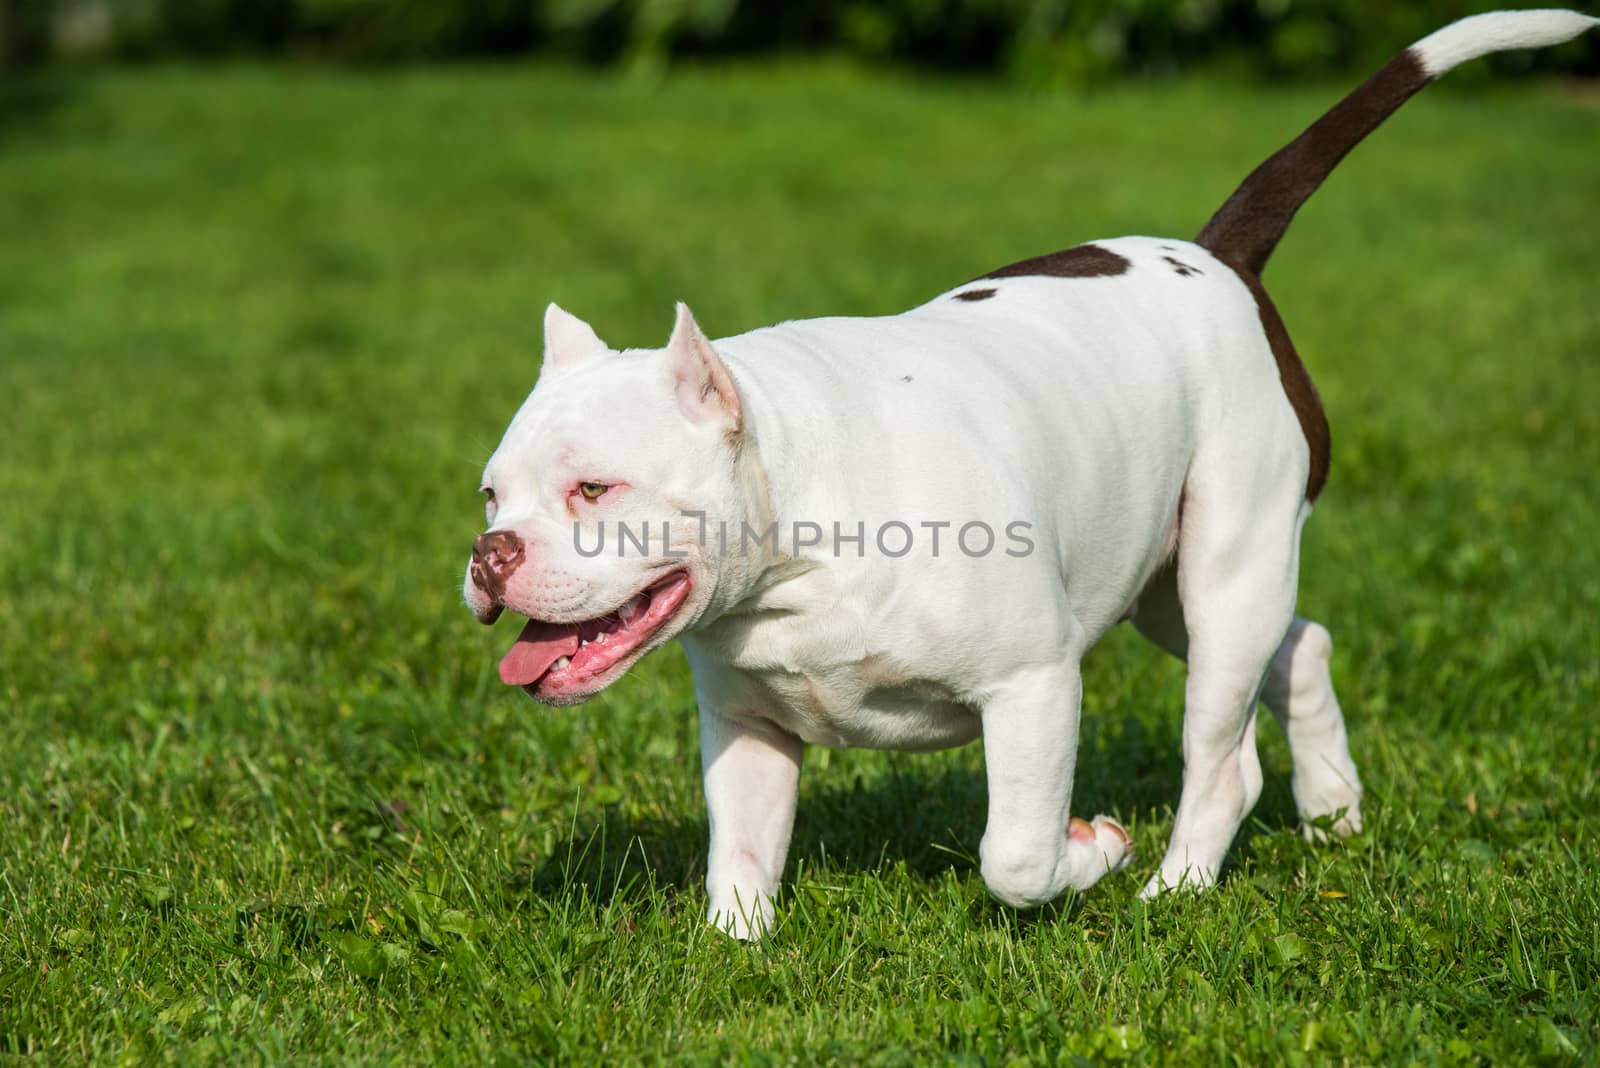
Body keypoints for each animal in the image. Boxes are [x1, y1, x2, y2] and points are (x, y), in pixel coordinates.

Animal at [464, 12, 1600, 940]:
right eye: (490, 494)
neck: (801, 519)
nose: (490, 554)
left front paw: (1091, 853)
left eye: (595, 490)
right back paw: (1330, 809)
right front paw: (732, 954)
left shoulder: (1033, 685)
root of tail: (1217, 256)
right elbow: (739, 860)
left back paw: (1175, 884)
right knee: (1300, 646)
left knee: (1221, 759)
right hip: (1169, 587)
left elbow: (1013, 856)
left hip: (1227, 569)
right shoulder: (747, 725)